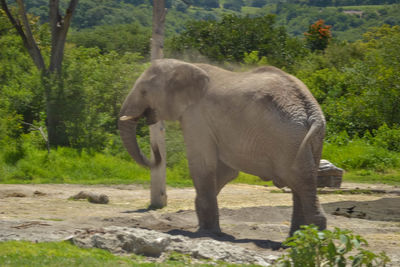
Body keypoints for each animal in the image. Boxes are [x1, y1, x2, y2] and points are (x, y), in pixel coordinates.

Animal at [118, 59, 324, 237]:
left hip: (287, 139)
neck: (187, 65)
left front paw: (207, 233)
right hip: (307, 139)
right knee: (303, 181)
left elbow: (202, 165)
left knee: (299, 181)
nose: (156, 148)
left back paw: (312, 237)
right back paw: (297, 238)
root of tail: (309, 109)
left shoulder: (196, 117)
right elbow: (227, 171)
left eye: (144, 91)